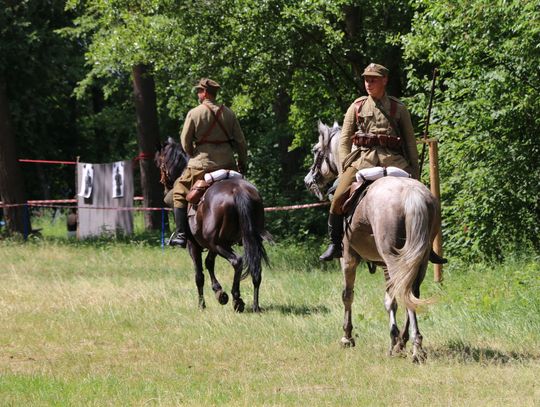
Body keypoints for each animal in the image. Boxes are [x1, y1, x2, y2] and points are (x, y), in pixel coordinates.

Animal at [156, 139, 270, 314]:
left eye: (159, 162)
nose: (164, 186)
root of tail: (237, 190)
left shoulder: (194, 245)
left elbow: (199, 275)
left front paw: (202, 304)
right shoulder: (213, 245)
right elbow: (209, 263)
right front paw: (219, 293)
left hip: (218, 244)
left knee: (237, 261)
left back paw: (237, 299)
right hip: (238, 241)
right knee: (255, 269)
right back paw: (255, 305)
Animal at [304, 122, 438, 364]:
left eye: (316, 150)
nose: (309, 180)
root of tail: (411, 195)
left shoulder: (348, 258)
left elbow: (348, 295)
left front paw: (347, 337)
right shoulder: (385, 264)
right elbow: (390, 300)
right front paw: (396, 341)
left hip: (394, 259)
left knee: (404, 292)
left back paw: (415, 348)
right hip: (418, 260)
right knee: (411, 292)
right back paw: (411, 343)